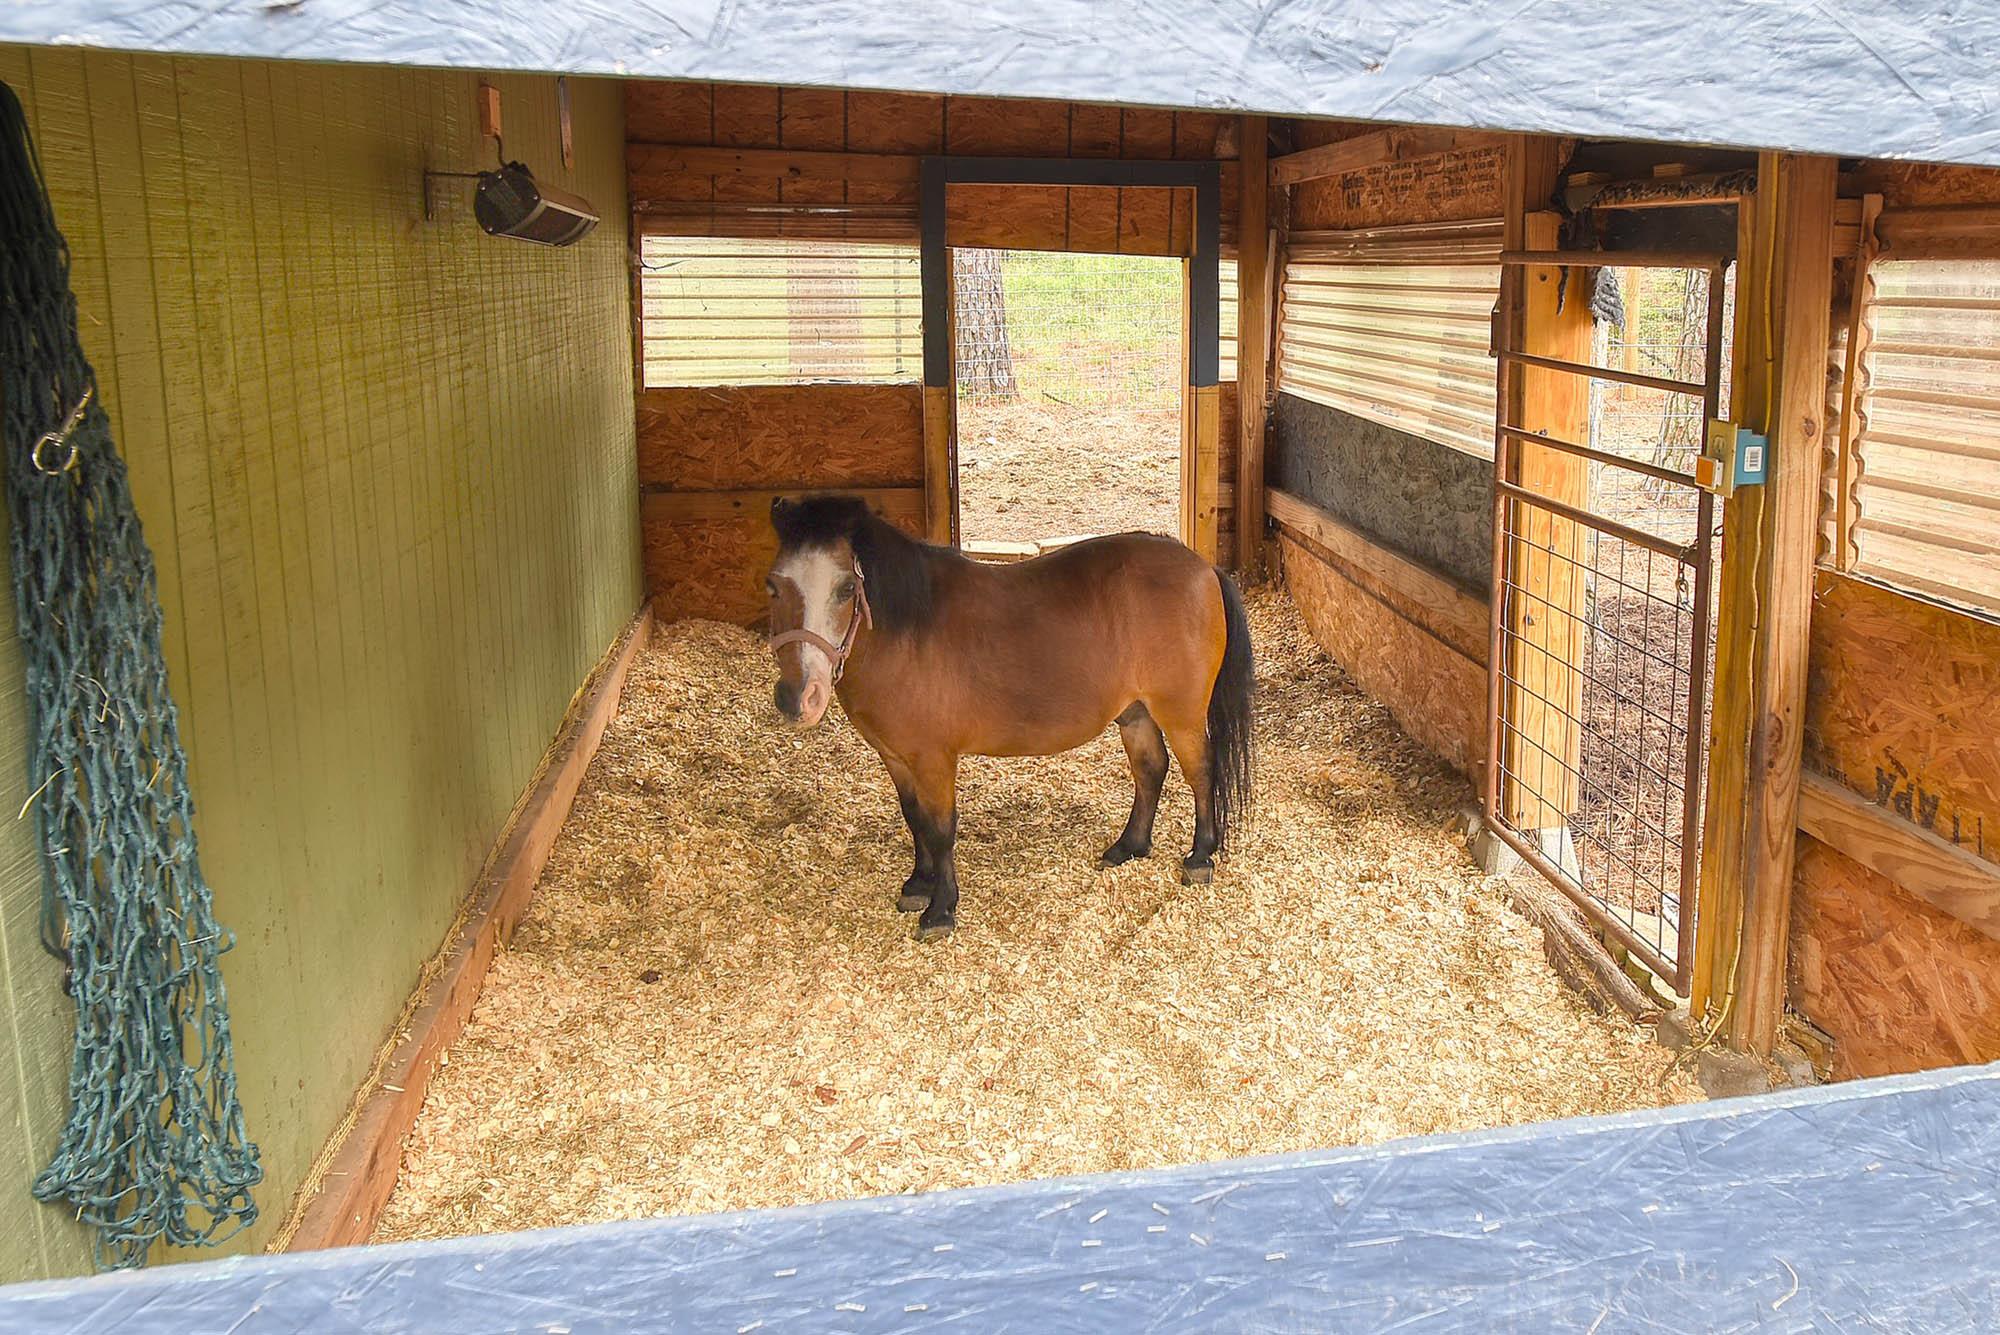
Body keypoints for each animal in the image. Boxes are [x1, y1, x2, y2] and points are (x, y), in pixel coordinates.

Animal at [763, 494, 1254, 941]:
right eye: (773, 586)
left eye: (847, 589)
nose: (797, 697)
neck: (907, 633)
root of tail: (1203, 568)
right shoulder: (896, 757)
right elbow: (914, 817)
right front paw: (918, 885)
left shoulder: (933, 759)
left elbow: (940, 827)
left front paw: (941, 909)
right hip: (1135, 714)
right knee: (1151, 769)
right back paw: (1128, 846)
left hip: (1181, 714)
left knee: (1200, 772)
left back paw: (1200, 857)